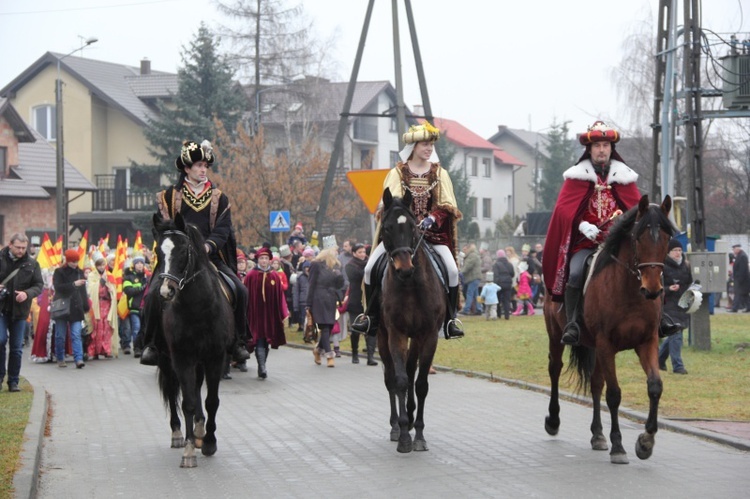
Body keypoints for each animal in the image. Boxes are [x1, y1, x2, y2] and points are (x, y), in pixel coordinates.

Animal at [144, 214, 232, 468]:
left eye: (184, 250)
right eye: (158, 252)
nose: (166, 291)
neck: (197, 309)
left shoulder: (215, 357)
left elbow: (211, 400)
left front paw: (209, 442)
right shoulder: (182, 357)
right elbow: (188, 402)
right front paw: (190, 450)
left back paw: (201, 430)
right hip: (166, 358)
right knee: (174, 390)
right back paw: (177, 433)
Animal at [376, 188, 446, 454]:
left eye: (414, 227)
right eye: (387, 228)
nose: (404, 268)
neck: (410, 286)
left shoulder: (428, 335)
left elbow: (421, 384)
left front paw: (419, 435)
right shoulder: (395, 333)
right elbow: (400, 381)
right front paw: (405, 435)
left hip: (415, 339)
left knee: (410, 371)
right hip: (382, 337)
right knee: (391, 379)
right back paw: (396, 426)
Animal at [544, 195, 680, 464]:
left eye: (667, 238)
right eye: (639, 237)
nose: (652, 289)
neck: (628, 291)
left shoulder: (646, 342)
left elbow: (655, 386)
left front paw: (646, 442)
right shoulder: (607, 344)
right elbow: (614, 394)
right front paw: (619, 446)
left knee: (596, 382)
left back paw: (598, 435)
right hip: (556, 334)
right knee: (555, 369)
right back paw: (553, 421)